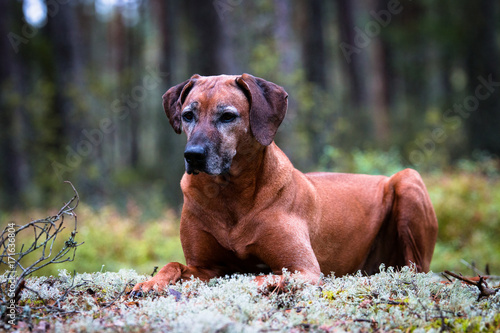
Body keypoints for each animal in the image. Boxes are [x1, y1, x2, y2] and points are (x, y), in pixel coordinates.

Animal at [132, 74, 438, 292]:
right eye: (187, 115)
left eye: (227, 116)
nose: (193, 155)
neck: (230, 193)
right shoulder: (204, 266)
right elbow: (173, 264)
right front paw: (150, 283)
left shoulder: (303, 269)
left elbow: (257, 275)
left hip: (408, 180)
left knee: (415, 270)